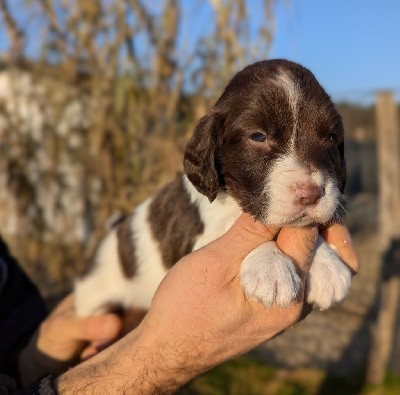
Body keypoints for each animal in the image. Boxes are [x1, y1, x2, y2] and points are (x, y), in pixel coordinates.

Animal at [74, 58, 350, 318]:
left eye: (331, 138)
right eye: (258, 136)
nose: (311, 194)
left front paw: (327, 264)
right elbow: (229, 224)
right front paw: (271, 266)